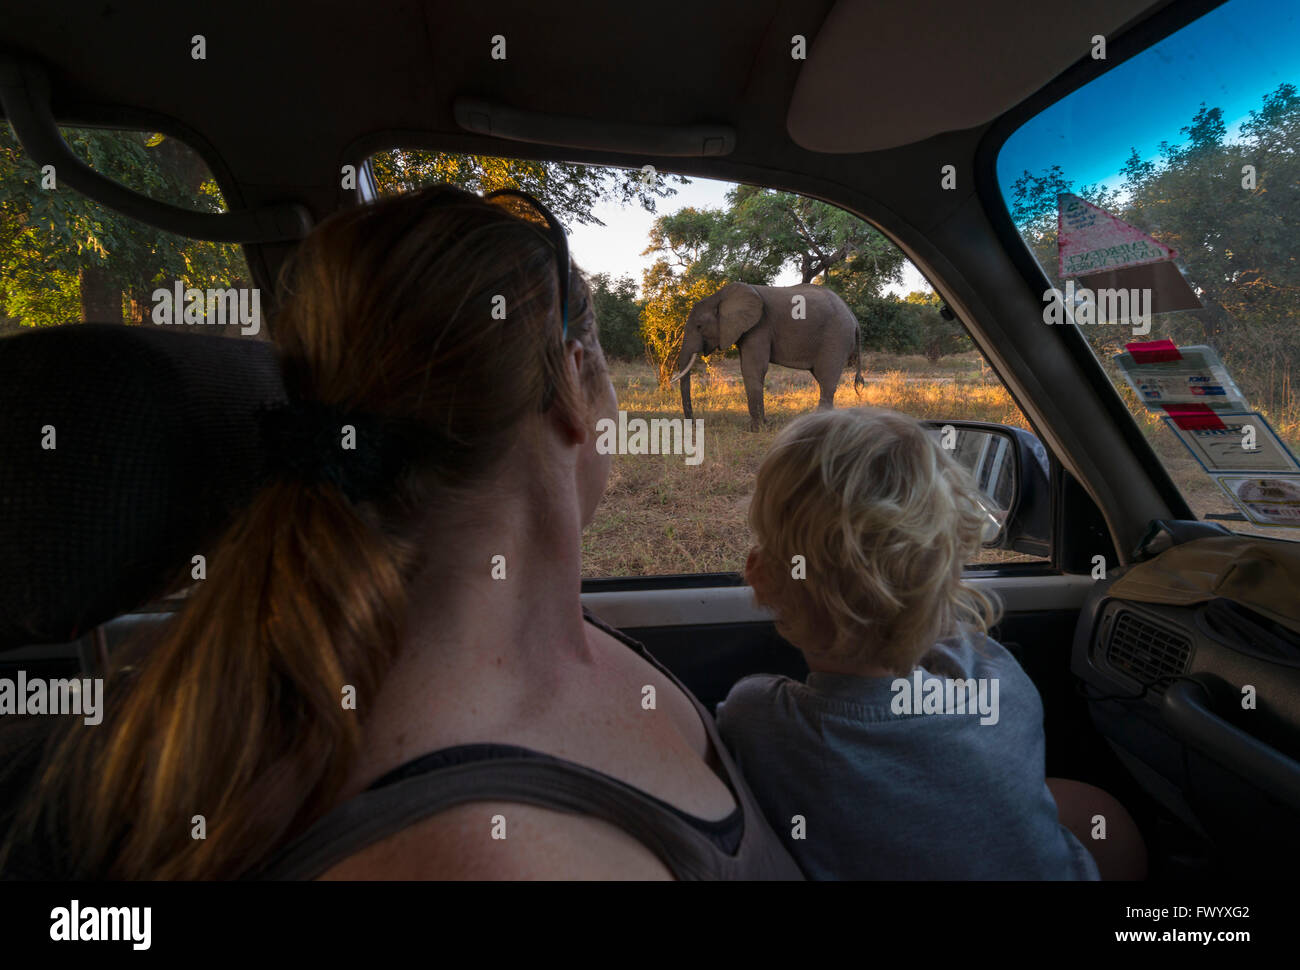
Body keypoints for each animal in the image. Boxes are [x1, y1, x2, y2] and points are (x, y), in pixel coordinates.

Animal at [670, 282, 863, 429]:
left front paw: (757, 429)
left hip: (836, 338)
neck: (719, 297)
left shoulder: (760, 326)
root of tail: (854, 318)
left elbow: (753, 368)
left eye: (699, 326)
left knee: (826, 380)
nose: (693, 425)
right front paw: (761, 425)